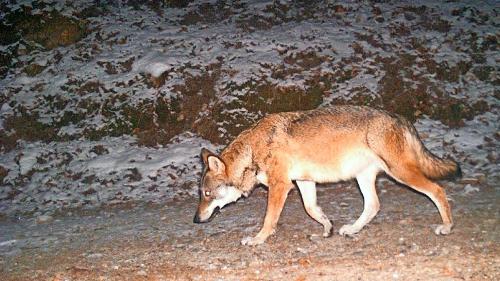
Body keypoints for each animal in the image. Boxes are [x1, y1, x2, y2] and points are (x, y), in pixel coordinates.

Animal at [191, 105, 460, 245]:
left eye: (206, 193)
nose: (195, 219)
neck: (252, 150)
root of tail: (400, 118)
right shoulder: (303, 182)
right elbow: (312, 210)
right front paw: (327, 227)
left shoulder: (281, 186)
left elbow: (269, 219)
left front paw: (258, 239)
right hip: (364, 178)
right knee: (373, 205)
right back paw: (351, 229)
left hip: (401, 173)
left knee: (438, 190)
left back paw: (447, 227)